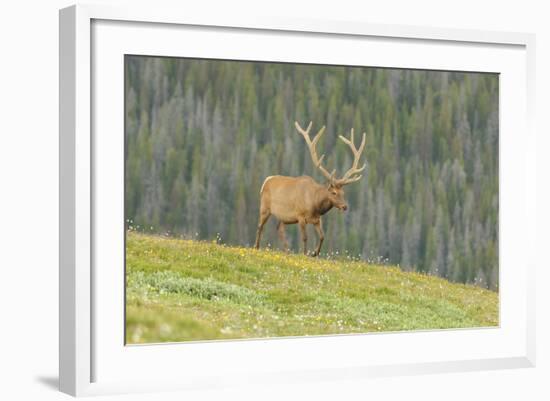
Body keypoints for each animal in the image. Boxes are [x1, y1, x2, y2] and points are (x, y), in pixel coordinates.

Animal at [256, 119, 368, 256]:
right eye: (334, 192)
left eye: (343, 193)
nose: (344, 206)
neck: (315, 205)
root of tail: (266, 181)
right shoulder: (300, 216)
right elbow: (305, 237)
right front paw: (305, 254)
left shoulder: (317, 220)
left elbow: (322, 236)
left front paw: (315, 253)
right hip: (264, 208)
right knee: (260, 226)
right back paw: (256, 247)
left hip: (283, 217)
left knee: (279, 229)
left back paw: (287, 251)